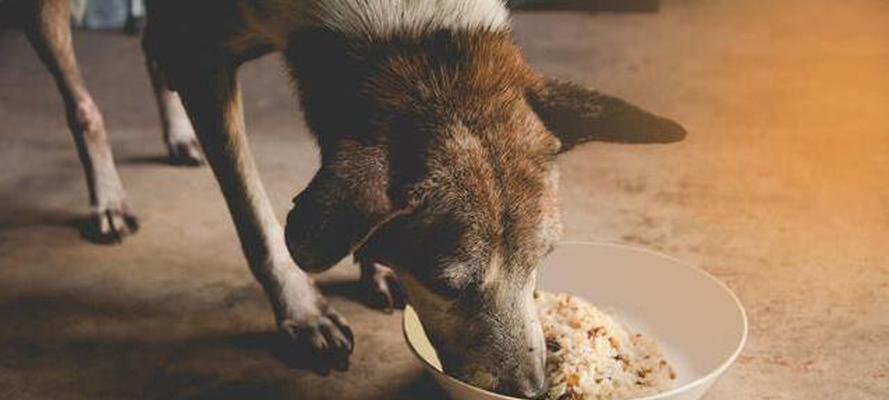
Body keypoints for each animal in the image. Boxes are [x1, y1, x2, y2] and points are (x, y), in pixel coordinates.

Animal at [1, 0, 688, 396]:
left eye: (543, 261)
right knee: (83, 102)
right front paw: (303, 311)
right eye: (448, 283)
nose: (532, 390)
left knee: (150, 48)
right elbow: (257, 218)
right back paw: (108, 197)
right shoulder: (206, 59)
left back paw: (176, 136)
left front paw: (375, 264)